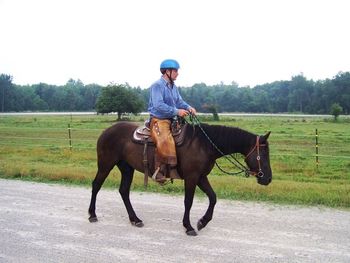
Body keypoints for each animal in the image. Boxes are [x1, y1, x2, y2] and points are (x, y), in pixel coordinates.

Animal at [88, 121, 274, 237]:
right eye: (263, 153)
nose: (268, 178)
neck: (204, 145)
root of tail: (105, 132)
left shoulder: (201, 177)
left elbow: (213, 197)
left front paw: (202, 222)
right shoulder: (191, 177)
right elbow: (188, 201)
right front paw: (189, 226)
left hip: (126, 168)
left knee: (124, 191)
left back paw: (135, 219)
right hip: (106, 164)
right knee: (96, 185)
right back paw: (92, 215)